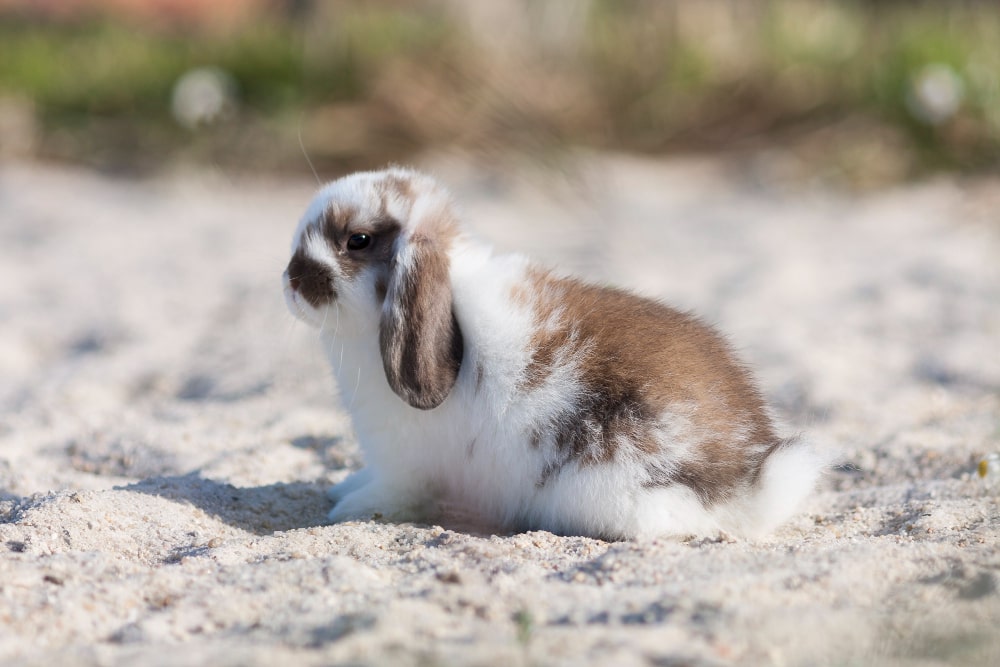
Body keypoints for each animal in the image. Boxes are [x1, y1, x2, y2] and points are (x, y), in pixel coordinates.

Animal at [282, 168, 820, 544]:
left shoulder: (404, 465)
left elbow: (392, 493)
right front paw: (341, 489)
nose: (290, 282)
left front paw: (347, 509)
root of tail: (746, 479)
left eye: (357, 240)